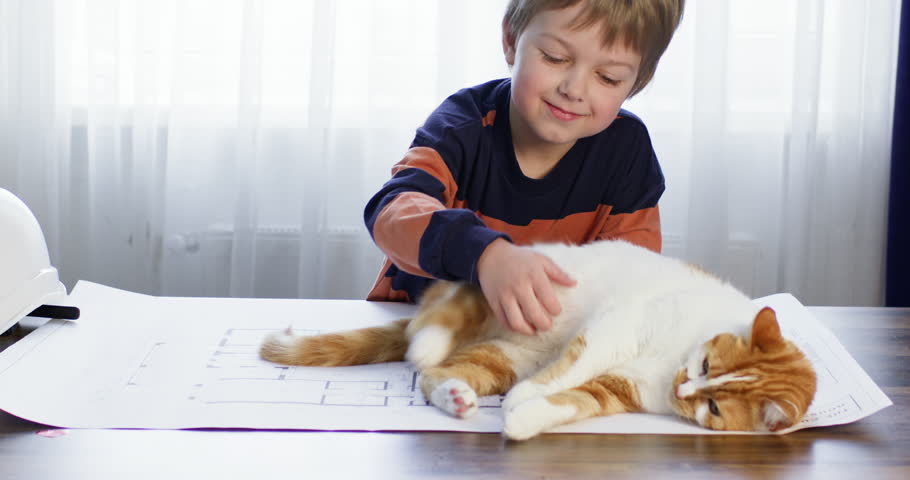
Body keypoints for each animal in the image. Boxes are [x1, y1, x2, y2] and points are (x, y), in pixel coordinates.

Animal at [258, 239, 820, 438]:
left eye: (716, 407)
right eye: (706, 366)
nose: (685, 388)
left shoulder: (620, 389)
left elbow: (574, 400)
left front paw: (524, 417)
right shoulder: (618, 327)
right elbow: (573, 365)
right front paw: (526, 398)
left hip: (503, 355)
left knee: (440, 375)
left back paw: (457, 396)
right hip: (514, 287)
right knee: (437, 317)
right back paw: (429, 340)